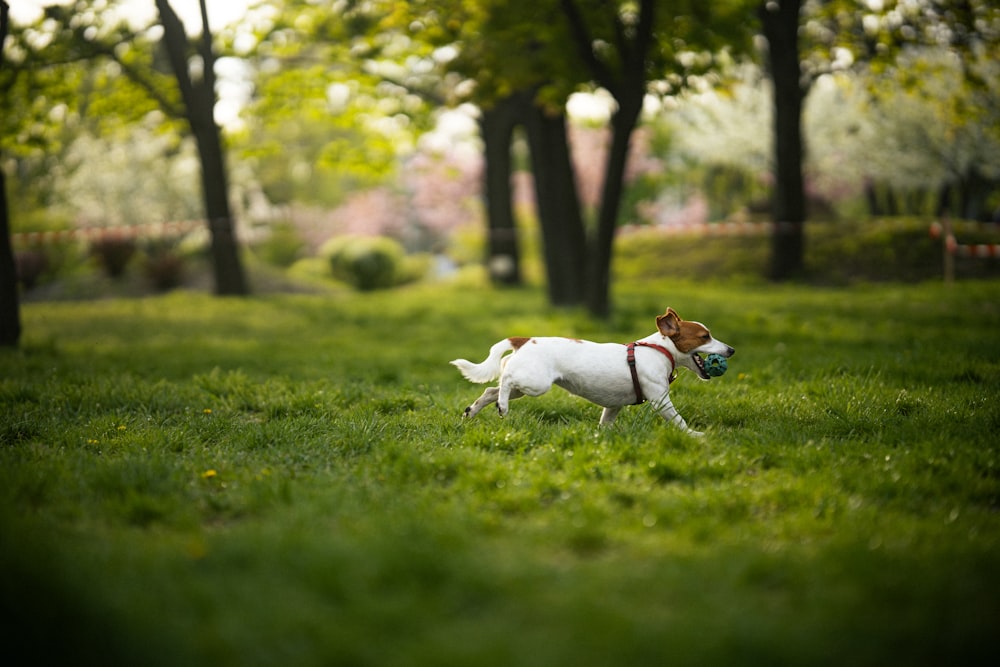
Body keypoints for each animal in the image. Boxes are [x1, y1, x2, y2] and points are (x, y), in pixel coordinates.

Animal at [454, 306, 736, 436]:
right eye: (704, 336)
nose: (731, 350)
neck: (659, 350)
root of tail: (523, 340)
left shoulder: (614, 406)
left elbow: (605, 423)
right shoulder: (660, 400)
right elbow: (678, 420)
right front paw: (696, 435)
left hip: (525, 388)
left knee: (490, 390)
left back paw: (472, 411)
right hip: (535, 384)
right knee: (504, 382)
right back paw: (501, 406)